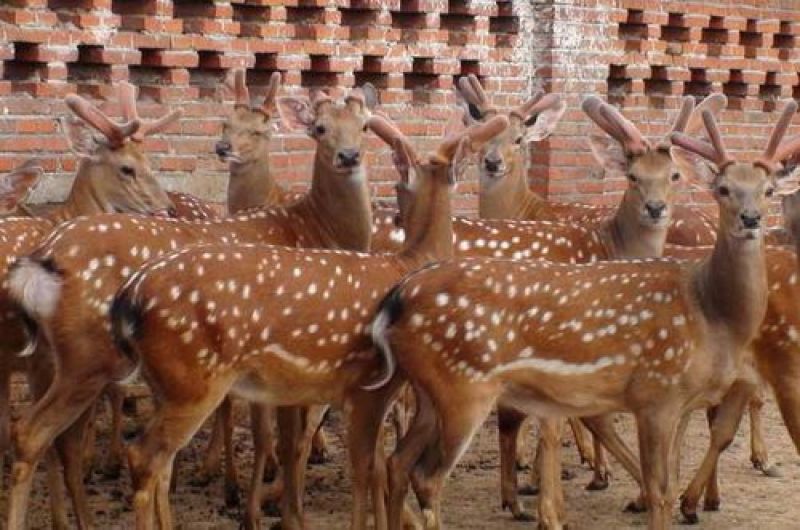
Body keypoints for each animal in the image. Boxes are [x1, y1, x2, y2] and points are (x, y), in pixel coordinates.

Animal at [4, 85, 390, 530]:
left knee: (50, 438)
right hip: (88, 356)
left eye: (365, 126)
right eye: (320, 127)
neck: (311, 228)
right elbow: (289, 440)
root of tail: (43, 258)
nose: (349, 155)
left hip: (63, 358)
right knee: (42, 434)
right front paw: (281, 512)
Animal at [368, 101, 798, 530]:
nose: (752, 218)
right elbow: (657, 485)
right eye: (723, 189)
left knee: (397, 461)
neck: (711, 313)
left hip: (430, 392)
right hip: (463, 389)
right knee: (424, 474)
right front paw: (580, 502)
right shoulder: (656, 393)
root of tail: (398, 297)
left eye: (768, 189)